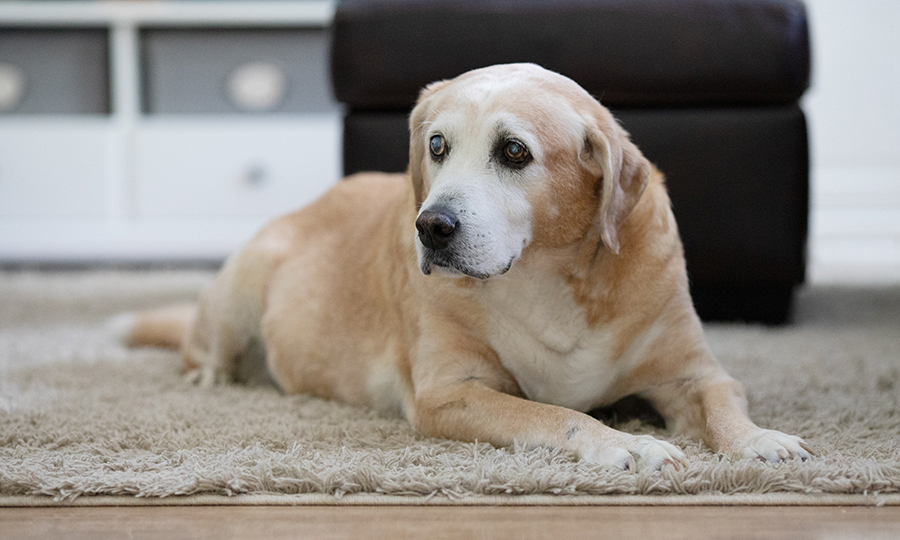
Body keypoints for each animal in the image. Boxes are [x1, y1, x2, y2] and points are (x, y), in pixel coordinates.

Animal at [121, 62, 816, 468]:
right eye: (436, 145)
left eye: (513, 152)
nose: (430, 227)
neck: (543, 279)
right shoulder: (449, 393)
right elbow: (557, 414)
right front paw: (627, 443)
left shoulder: (693, 373)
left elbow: (724, 402)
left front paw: (760, 440)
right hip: (243, 282)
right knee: (203, 345)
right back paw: (211, 374)